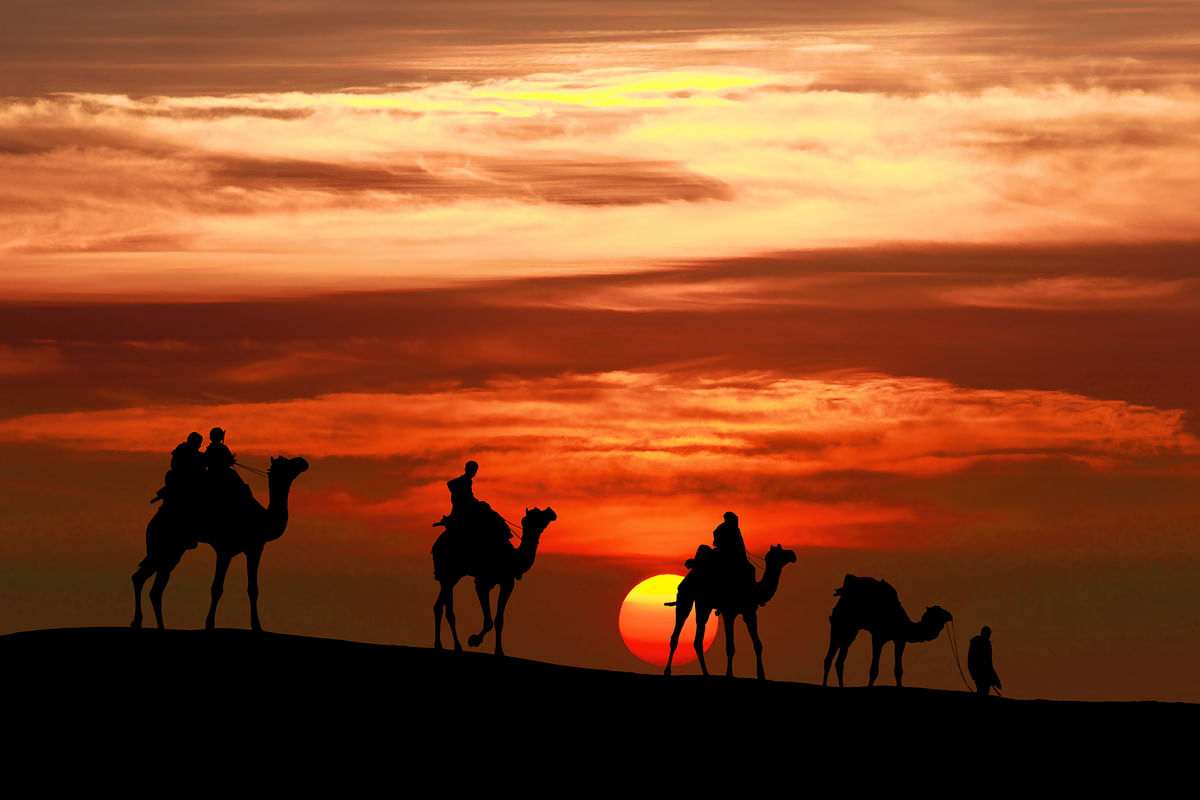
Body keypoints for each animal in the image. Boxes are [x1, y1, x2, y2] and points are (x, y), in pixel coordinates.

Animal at [130, 455, 309, 633]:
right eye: (286, 463)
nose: (303, 461)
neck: (263, 520)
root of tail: (152, 523)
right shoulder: (227, 550)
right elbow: (217, 588)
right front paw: (210, 624)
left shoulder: (253, 549)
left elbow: (252, 589)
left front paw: (257, 626)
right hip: (164, 547)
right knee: (147, 582)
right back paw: (145, 623)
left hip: (171, 553)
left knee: (148, 584)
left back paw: (149, 624)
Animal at [434, 506, 554, 657]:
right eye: (536, 515)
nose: (551, 511)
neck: (512, 558)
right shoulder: (482, 583)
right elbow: (489, 621)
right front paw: (474, 640)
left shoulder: (507, 583)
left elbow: (499, 620)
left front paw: (499, 651)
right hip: (448, 572)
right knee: (442, 606)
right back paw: (441, 645)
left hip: (452, 576)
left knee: (443, 606)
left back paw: (453, 646)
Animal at [667, 542, 796, 681]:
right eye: (779, 552)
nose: (792, 554)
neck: (754, 589)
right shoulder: (728, 613)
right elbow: (730, 647)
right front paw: (729, 674)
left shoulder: (749, 612)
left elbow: (758, 644)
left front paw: (761, 675)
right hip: (686, 596)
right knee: (678, 629)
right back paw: (667, 671)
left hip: (703, 604)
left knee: (698, 637)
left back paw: (706, 673)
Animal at [820, 575, 950, 690]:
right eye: (939, 613)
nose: (950, 615)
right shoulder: (878, 638)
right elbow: (874, 670)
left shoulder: (900, 640)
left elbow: (898, 670)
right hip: (839, 626)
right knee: (831, 657)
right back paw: (826, 685)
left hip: (850, 631)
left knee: (838, 659)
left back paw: (839, 686)